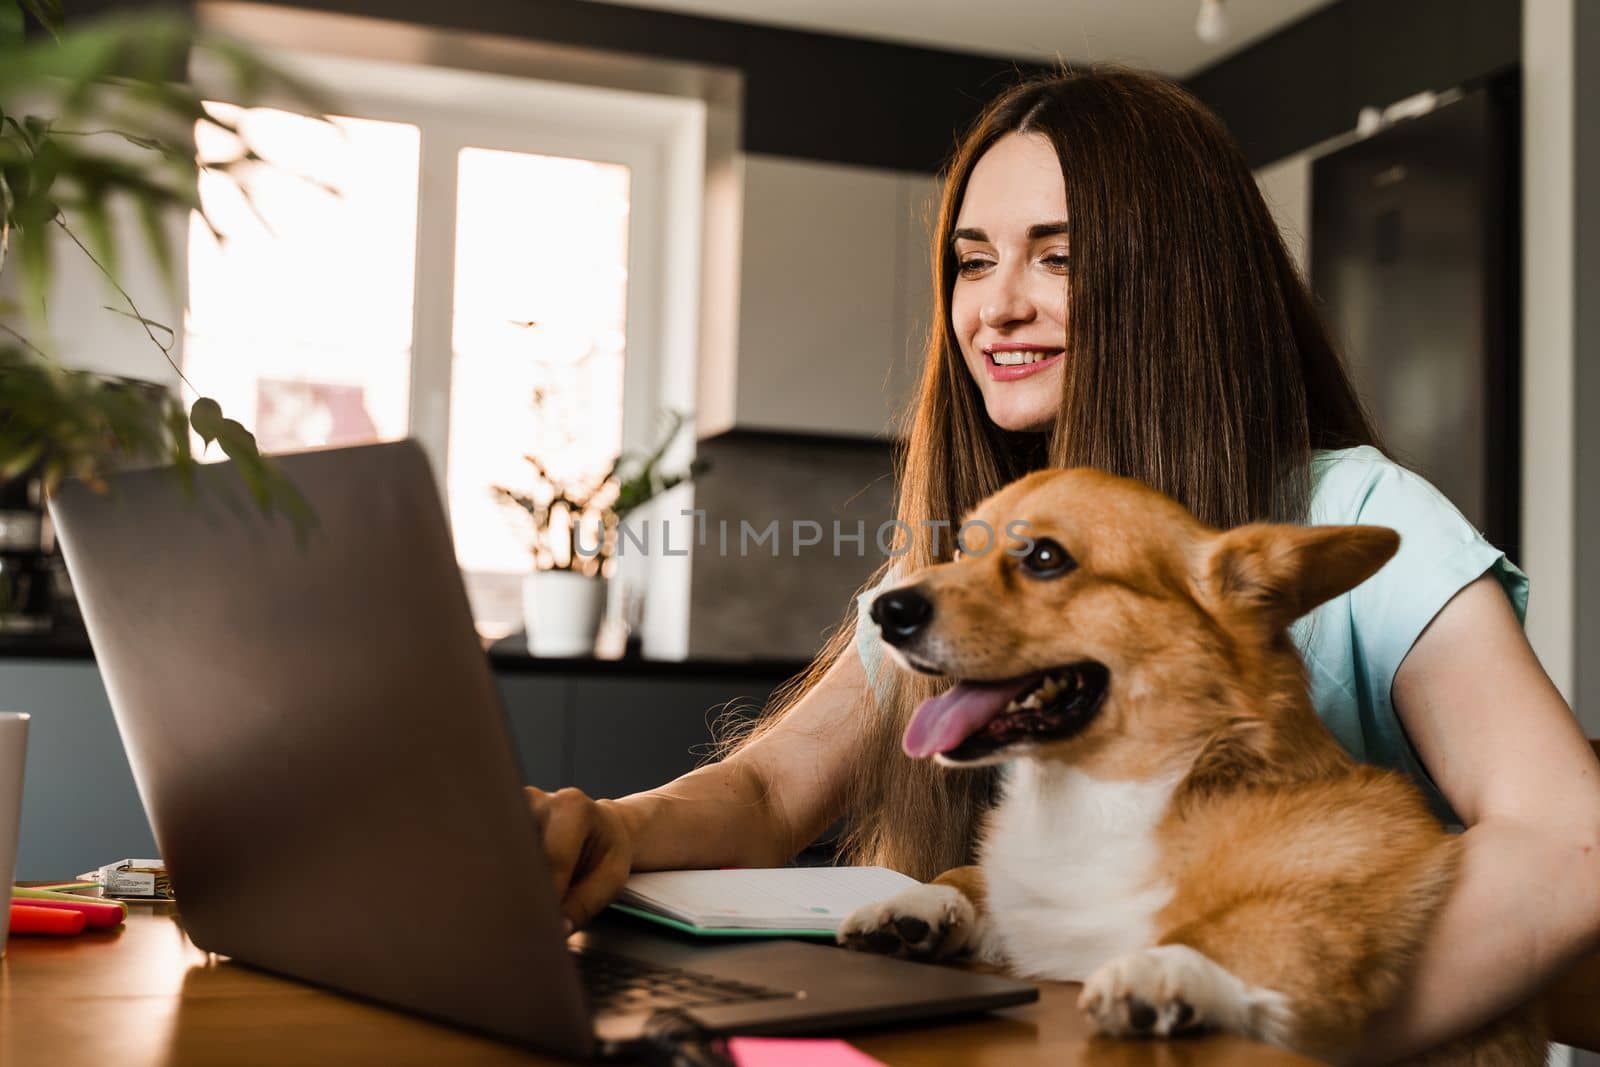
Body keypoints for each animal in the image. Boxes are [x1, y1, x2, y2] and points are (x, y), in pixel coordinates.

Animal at [838, 470, 1536, 1067]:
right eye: (961, 550)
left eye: (1045, 558)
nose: (885, 610)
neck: (1102, 794)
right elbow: (970, 880)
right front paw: (920, 903)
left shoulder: (1325, 920)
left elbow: (1252, 937)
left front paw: (1167, 972)